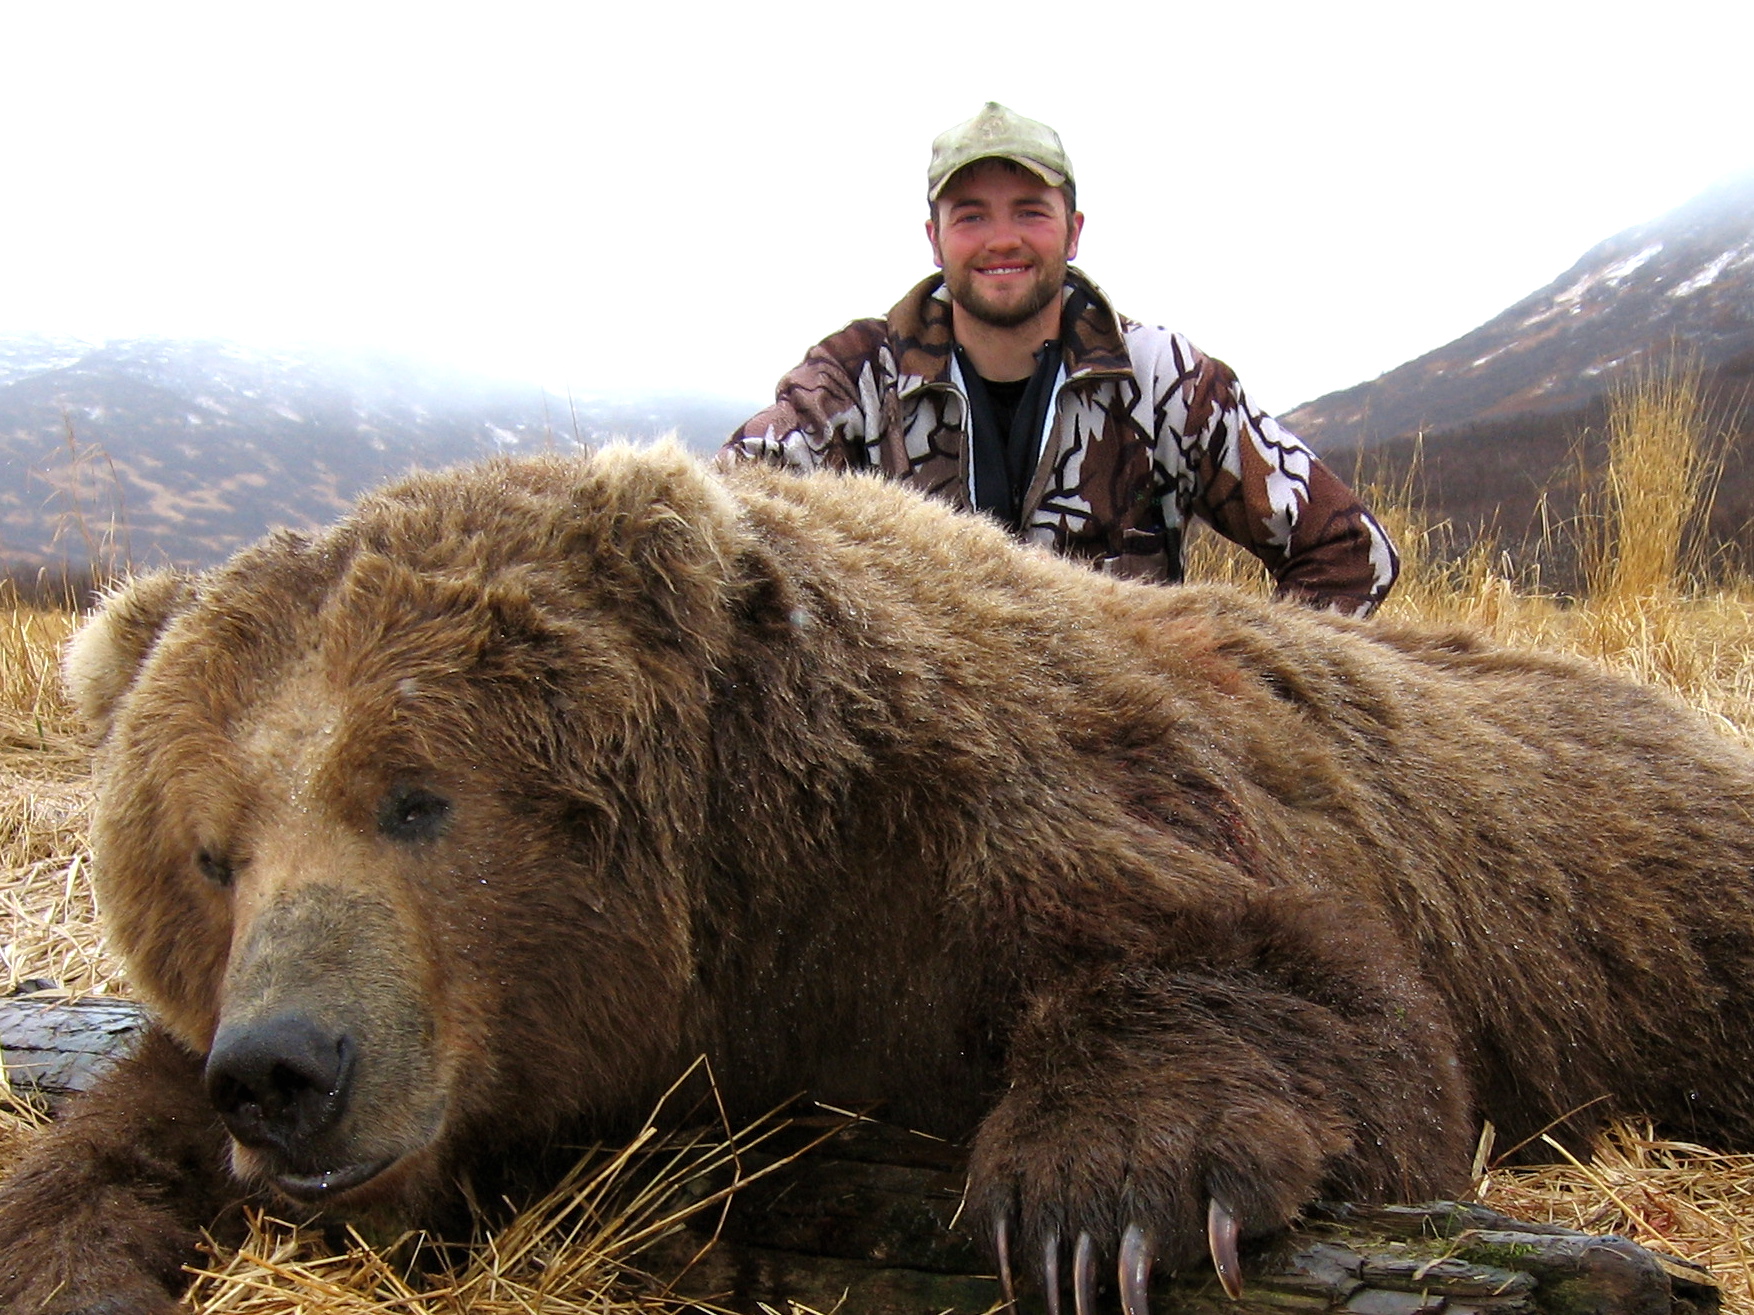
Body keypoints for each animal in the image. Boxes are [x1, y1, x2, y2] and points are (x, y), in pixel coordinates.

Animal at [3, 440, 1754, 1315]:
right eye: (212, 851)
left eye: (415, 797)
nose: (286, 1065)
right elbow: (127, 1130)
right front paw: (68, 1242)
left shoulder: (974, 828)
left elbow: (1301, 985)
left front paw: (1104, 1194)